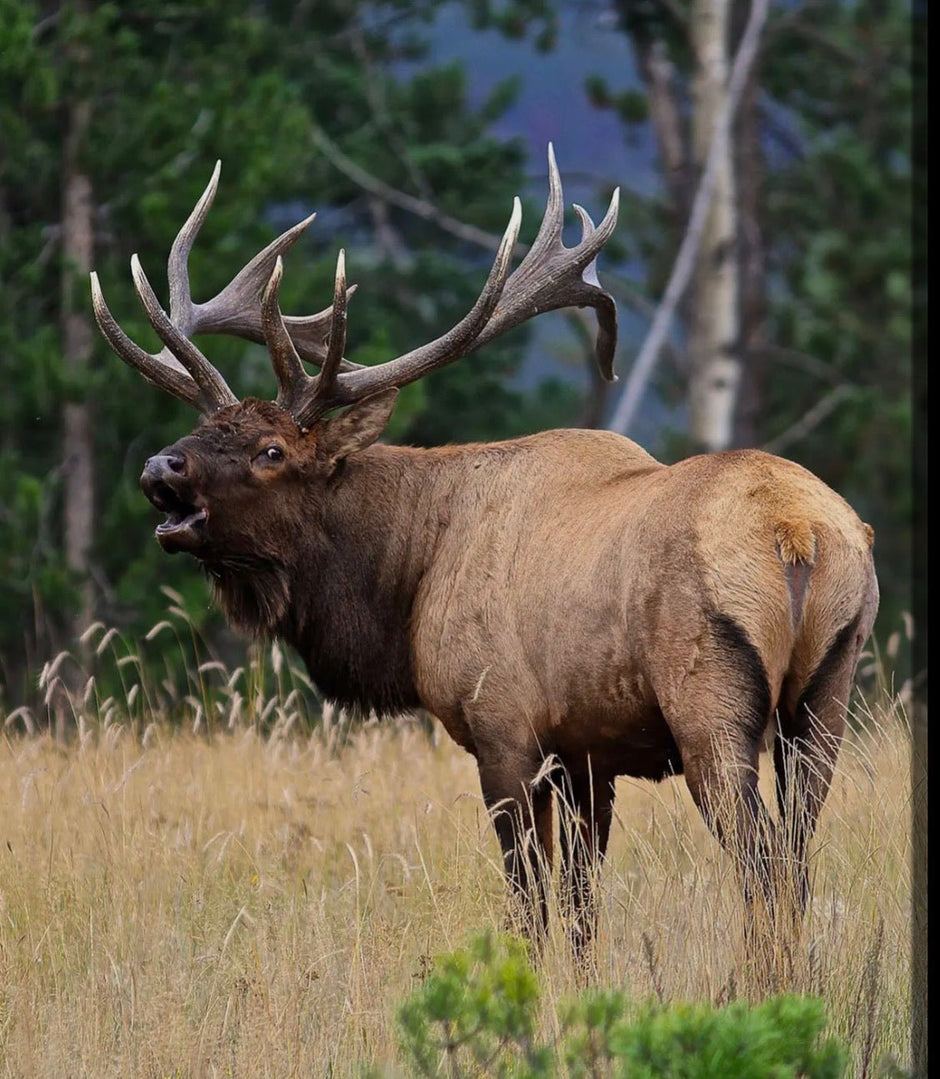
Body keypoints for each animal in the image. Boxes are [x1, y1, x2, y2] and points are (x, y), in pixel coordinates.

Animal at [90, 149, 878, 960]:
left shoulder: (502, 728)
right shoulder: (587, 752)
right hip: (827, 694)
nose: (159, 469)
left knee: (763, 862)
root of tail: (800, 533)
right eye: (202, 428)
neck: (409, 581)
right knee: (799, 858)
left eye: (271, 450)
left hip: (711, 704)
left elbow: (529, 900)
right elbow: (583, 904)